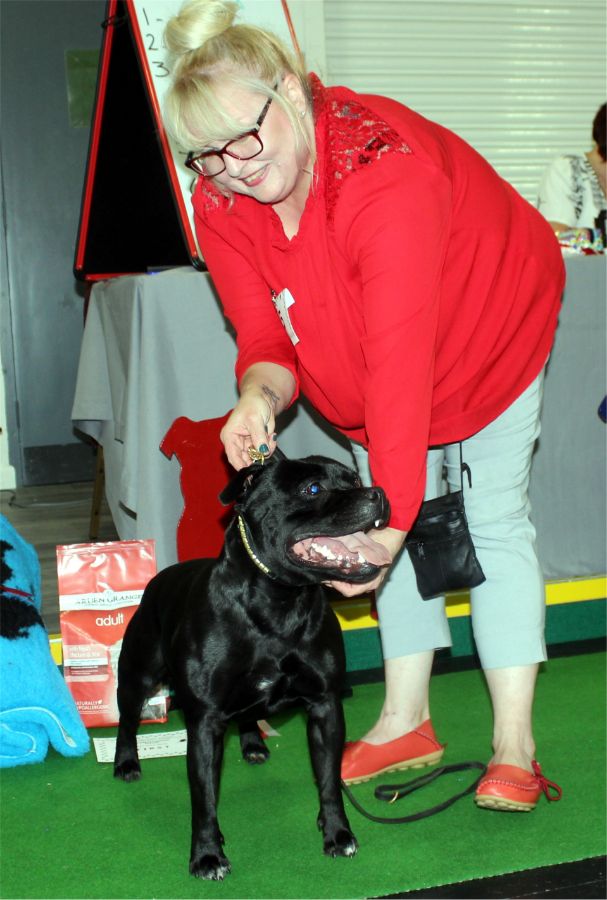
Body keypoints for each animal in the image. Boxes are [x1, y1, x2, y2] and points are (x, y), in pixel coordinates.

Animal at [113, 450, 390, 880]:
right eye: (313, 489)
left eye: (355, 478)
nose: (377, 493)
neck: (280, 603)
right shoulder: (205, 723)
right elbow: (204, 798)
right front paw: (207, 854)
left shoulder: (325, 707)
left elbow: (329, 780)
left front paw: (337, 833)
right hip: (137, 676)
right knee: (127, 720)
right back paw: (126, 762)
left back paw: (254, 744)